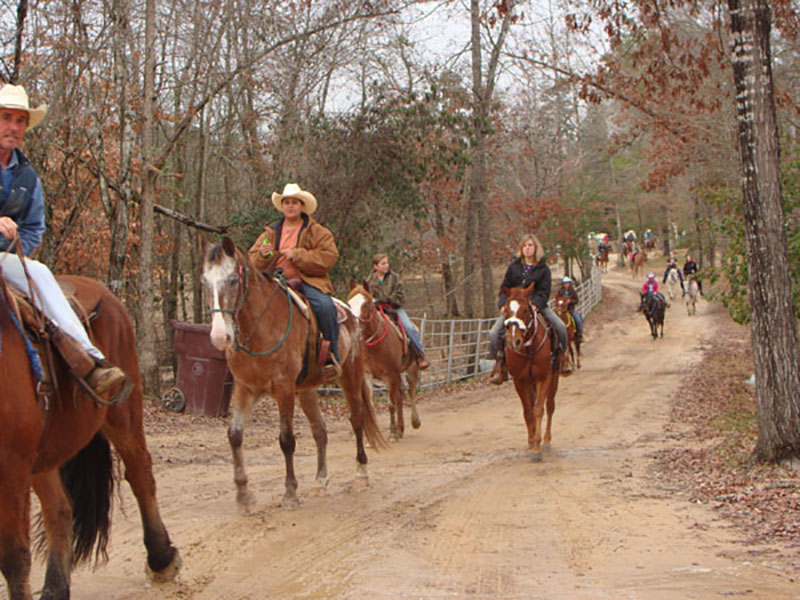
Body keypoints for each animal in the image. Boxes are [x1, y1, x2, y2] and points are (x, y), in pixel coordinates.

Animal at [0, 276, 180, 600]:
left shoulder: (11, 466)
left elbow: (14, 558)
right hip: (45, 451)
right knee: (59, 509)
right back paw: (55, 588)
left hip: (123, 413)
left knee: (140, 474)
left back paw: (161, 558)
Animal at [202, 238, 386, 510]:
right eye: (204, 282)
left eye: (233, 280)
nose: (219, 337)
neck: (260, 326)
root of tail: (350, 314)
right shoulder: (246, 389)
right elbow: (234, 435)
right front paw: (244, 495)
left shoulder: (284, 388)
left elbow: (286, 439)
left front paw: (290, 492)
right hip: (307, 390)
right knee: (320, 431)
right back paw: (320, 481)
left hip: (350, 376)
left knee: (357, 419)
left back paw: (361, 474)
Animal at [346, 282, 422, 440]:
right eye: (349, 303)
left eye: (366, 303)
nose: (354, 324)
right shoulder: (367, 375)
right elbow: (371, 406)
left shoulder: (390, 373)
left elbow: (390, 404)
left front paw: (392, 432)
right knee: (400, 397)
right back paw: (401, 429)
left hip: (411, 368)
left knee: (411, 392)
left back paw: (414, 422)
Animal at [496, 284, 560, 462]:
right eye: (506, 311)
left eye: (525, 309)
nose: (514, 341)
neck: (529, 348)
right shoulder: (520, 380)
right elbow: (528, 410)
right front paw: (532, 442)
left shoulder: (544, 377)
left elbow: (539, 409)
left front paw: (538, 447)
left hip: (554, 377)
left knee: (550, 406)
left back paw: (547, 442)